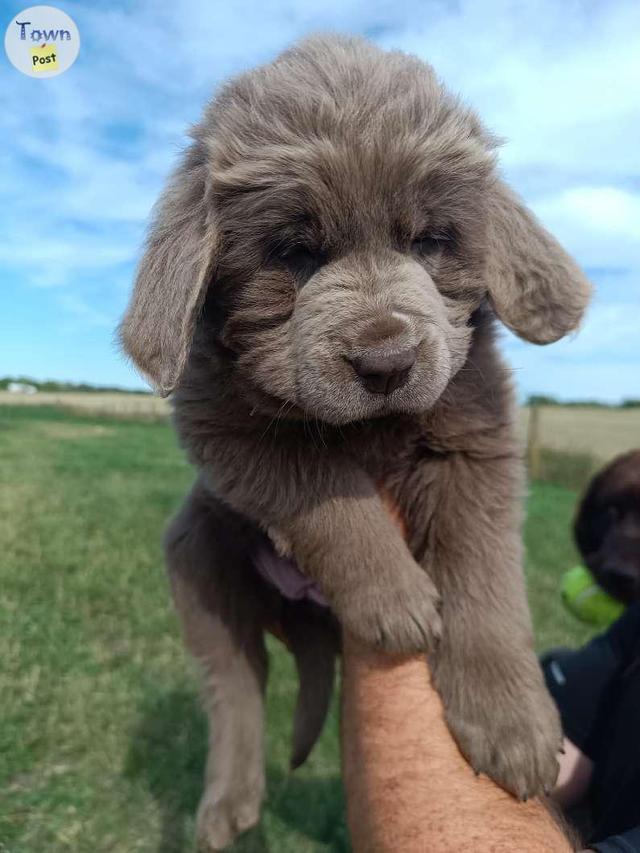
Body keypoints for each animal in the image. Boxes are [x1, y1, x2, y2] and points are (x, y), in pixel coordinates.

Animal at [119, 35, 592, 852]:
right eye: (293, 251)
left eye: (430, 240)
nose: (385, 360)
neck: (371, 427)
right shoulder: (222, 431)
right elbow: (326, 493)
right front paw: (395, 598)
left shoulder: (477, 441)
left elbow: (485, 571)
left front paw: (511, 721)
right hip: (197, 557)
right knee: (234, 684)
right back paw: (228, 804)